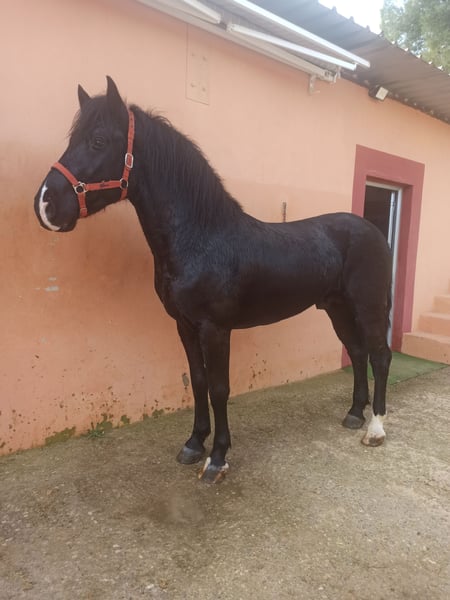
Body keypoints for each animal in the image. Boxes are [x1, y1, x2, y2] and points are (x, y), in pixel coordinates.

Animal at [34, 77, 392, 483]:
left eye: (97, 140)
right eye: (72, 138)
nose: (45, 204)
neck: (201, 237)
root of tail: (372, 230)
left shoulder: (215, 328)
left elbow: (220, 388)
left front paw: (217, 458)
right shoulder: (185, 325)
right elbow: (198, 381)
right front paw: (193, 444)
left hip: (368, 305)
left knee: (379, 355)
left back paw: (375, 429)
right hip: (336, 308)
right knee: (358, 351)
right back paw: (354, 414)